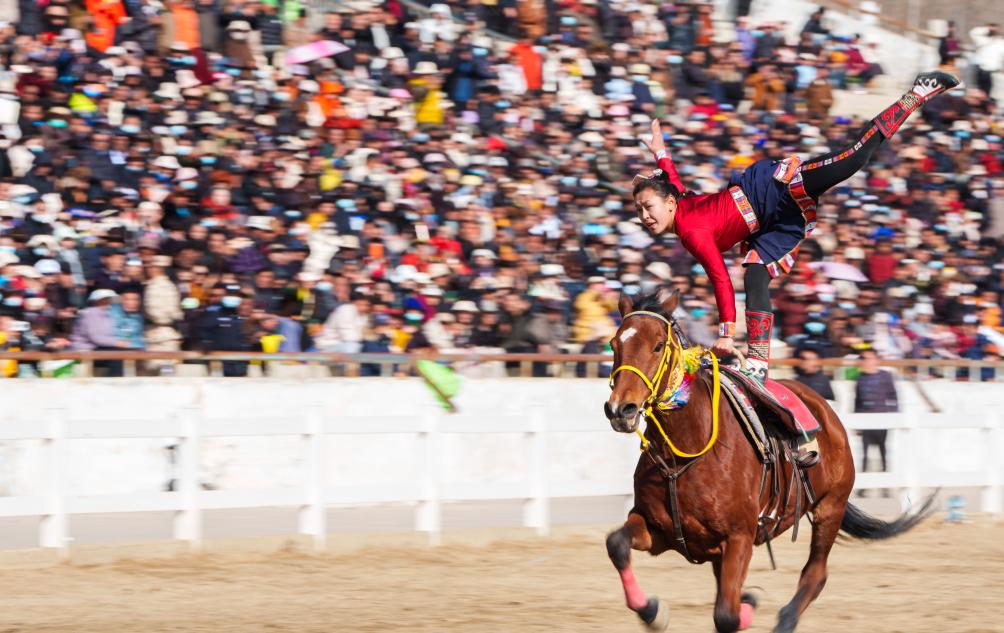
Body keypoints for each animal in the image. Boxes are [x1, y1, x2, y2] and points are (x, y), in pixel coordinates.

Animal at [603, 288, 931, 633]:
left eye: (657, 345)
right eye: (615, 344)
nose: (620, 409)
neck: (683, 454)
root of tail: (825, 410)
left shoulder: (739, 538)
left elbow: (727, 615)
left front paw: (745, 606)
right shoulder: (659, 528)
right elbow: (617, 544)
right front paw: (652, 610)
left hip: (831, 507)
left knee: (815, 574)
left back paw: (784, 619)